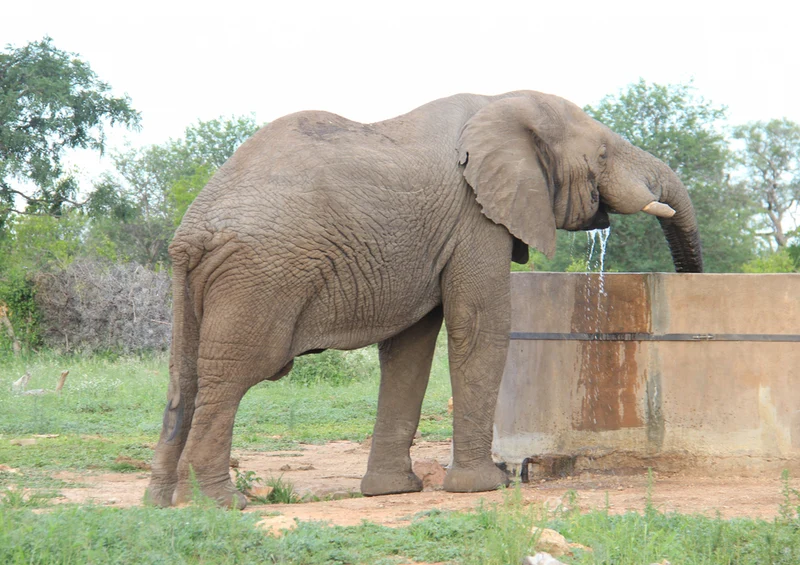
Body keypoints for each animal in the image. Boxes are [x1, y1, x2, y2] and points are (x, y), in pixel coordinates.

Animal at [146, 90, 703, 509]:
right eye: (603, 154)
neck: (499, 104)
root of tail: (192, 231)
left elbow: (410, 348)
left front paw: (393, 491)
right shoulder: (474, 218)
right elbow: (479, 326)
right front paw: (487, 486)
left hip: (197, 282)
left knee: (184, 378)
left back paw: (162, 503)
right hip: (260, 277)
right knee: (233, 376)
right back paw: (219, 505)